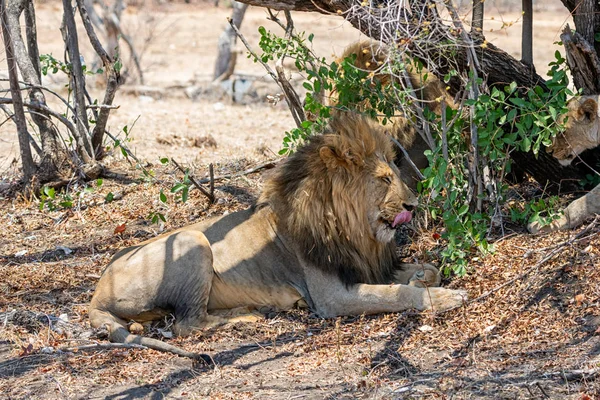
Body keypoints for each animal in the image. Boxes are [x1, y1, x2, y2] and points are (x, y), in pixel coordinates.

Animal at [89, 112, 466, 360]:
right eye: (385, 179)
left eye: (396, 175)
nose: (413, 205)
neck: (356, 230)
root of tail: (96, 291)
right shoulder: (331, 297)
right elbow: (393, 294)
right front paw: (443, 298)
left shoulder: (366, 265)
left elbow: (427, 270)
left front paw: (422, 279)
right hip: (190, 241)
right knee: (187, 324)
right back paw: (246, 316)